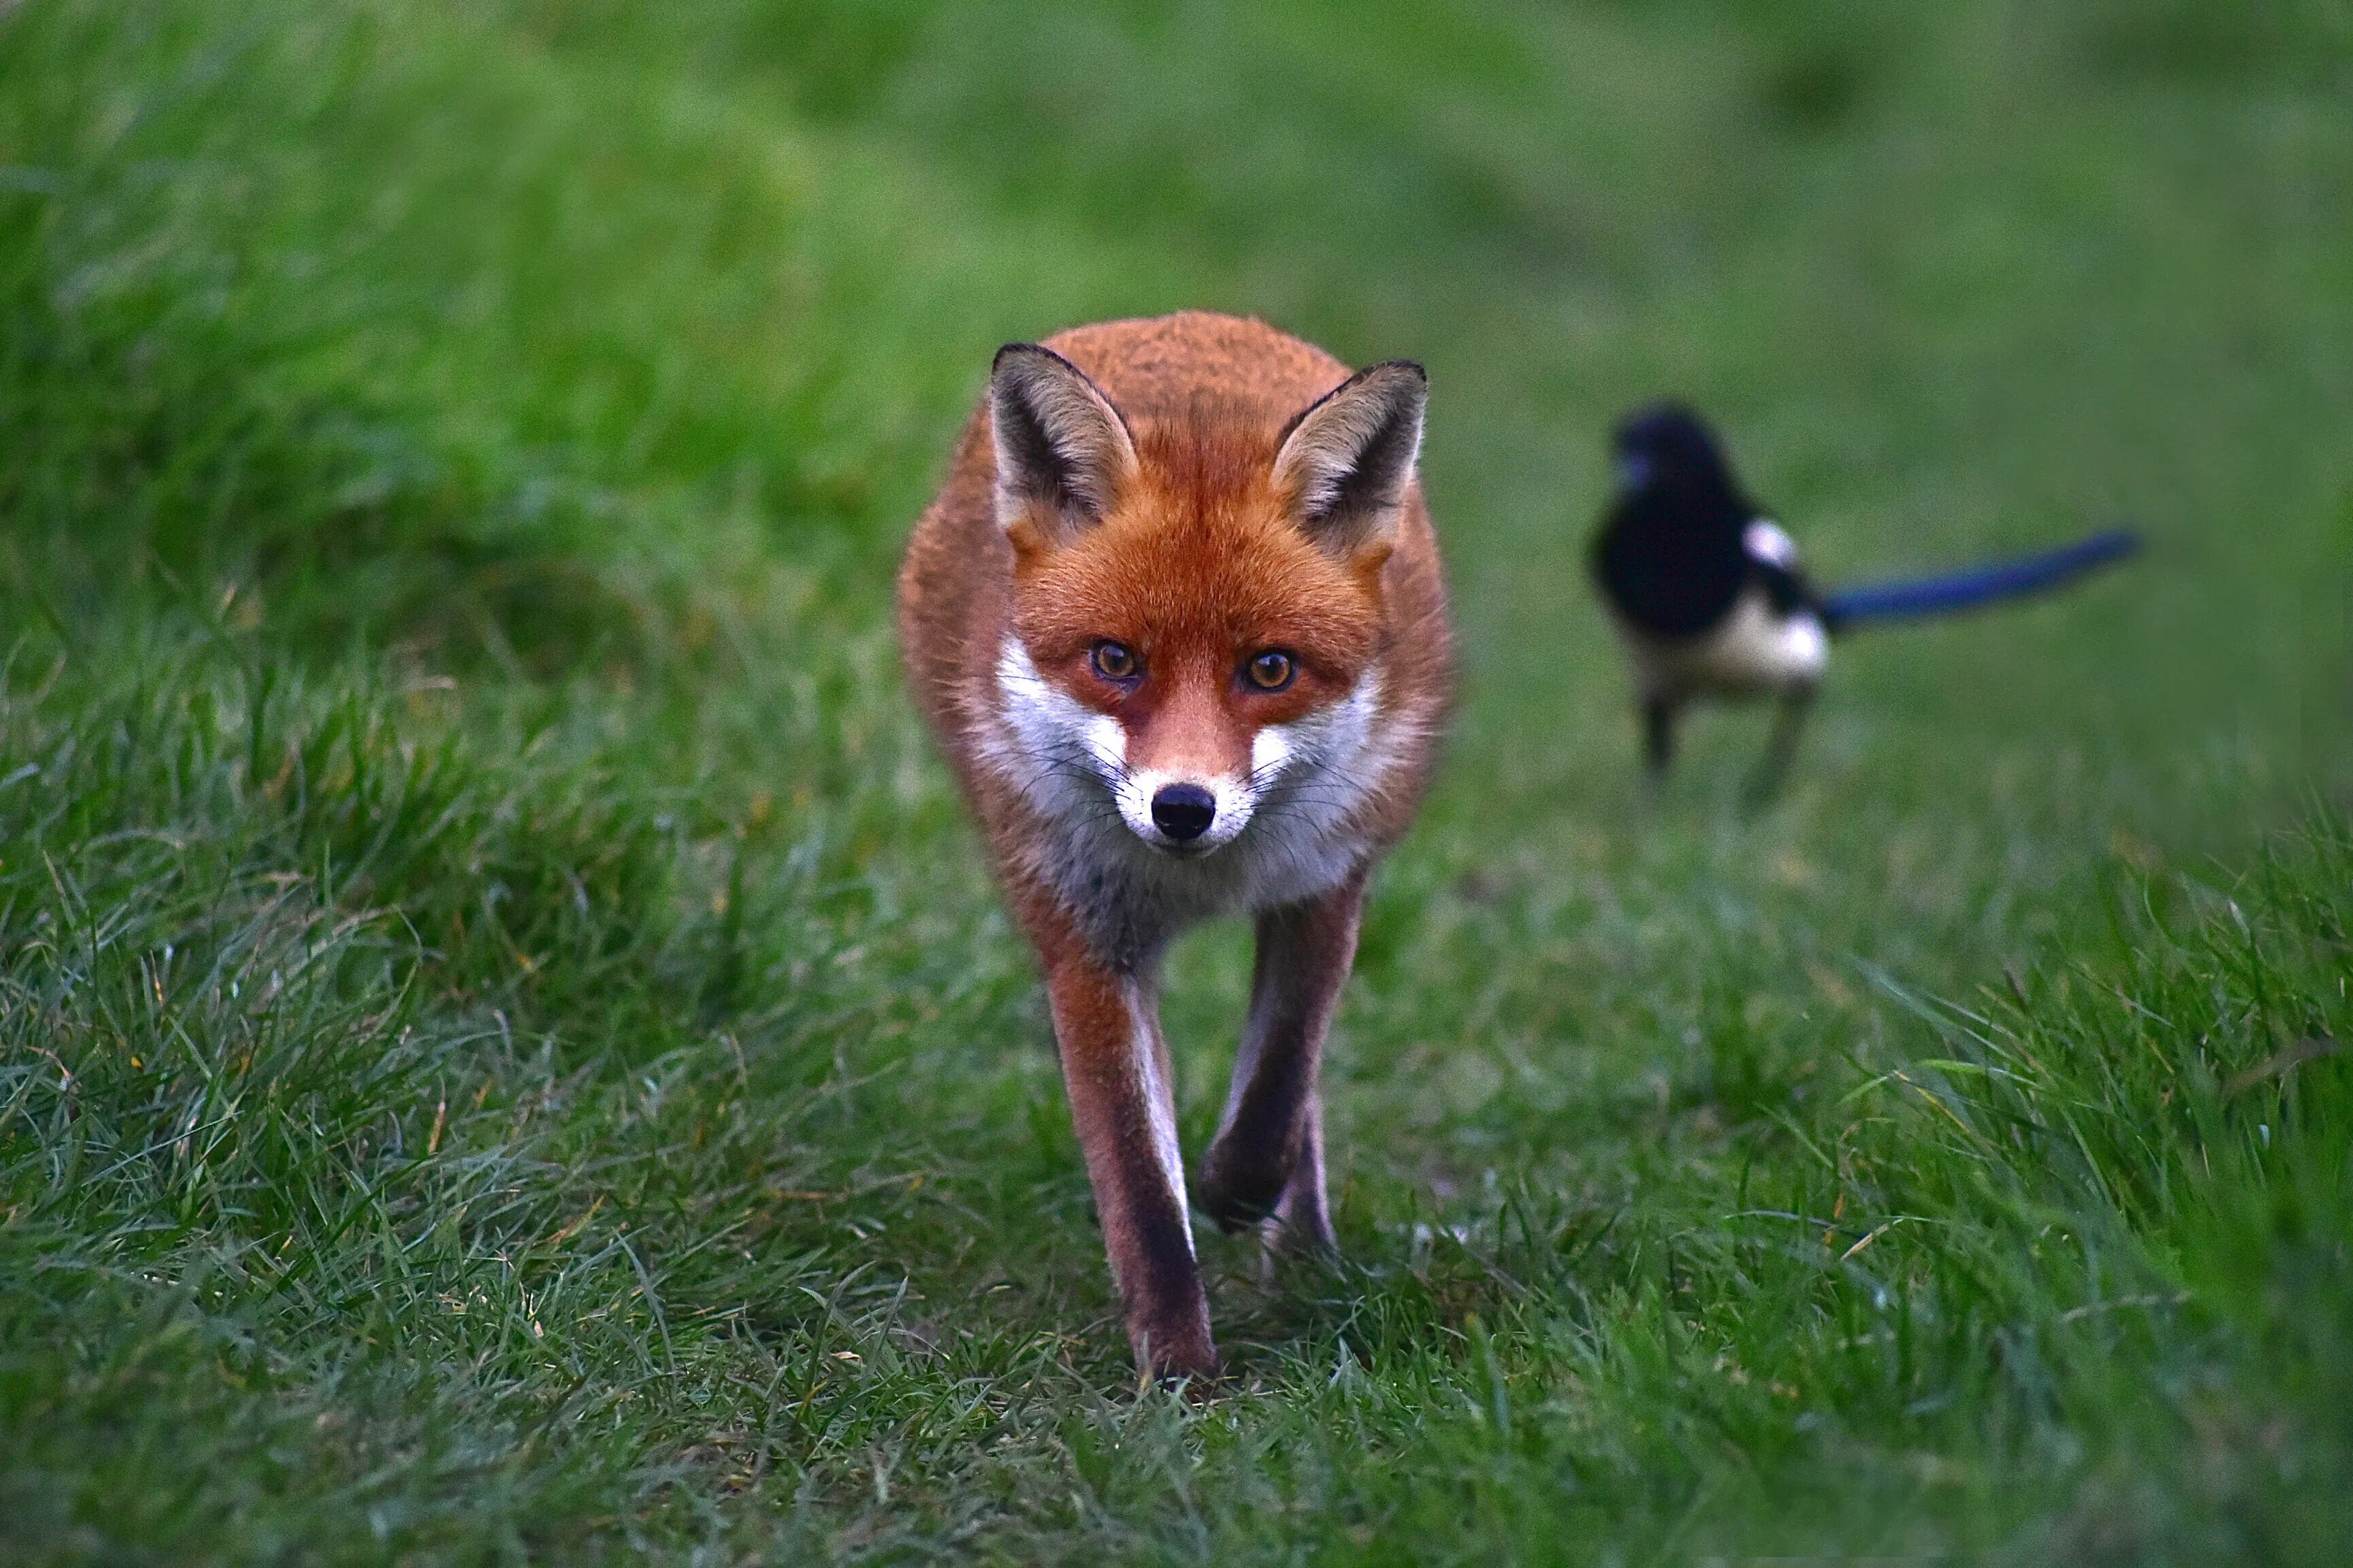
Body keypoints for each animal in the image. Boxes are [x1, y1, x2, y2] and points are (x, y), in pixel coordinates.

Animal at [896, 311, 1452, 1380]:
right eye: (1116, 660)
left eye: (1269, 669)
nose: (1182, 808)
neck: (1206, 878)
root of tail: (1194, 321)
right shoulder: (1086, 945)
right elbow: (1144, 1195)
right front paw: (1181, 1377)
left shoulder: (1324, 889)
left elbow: (1279, 1084)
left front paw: (1238, 1188)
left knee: (1297, 1090)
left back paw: (1301, 1253)